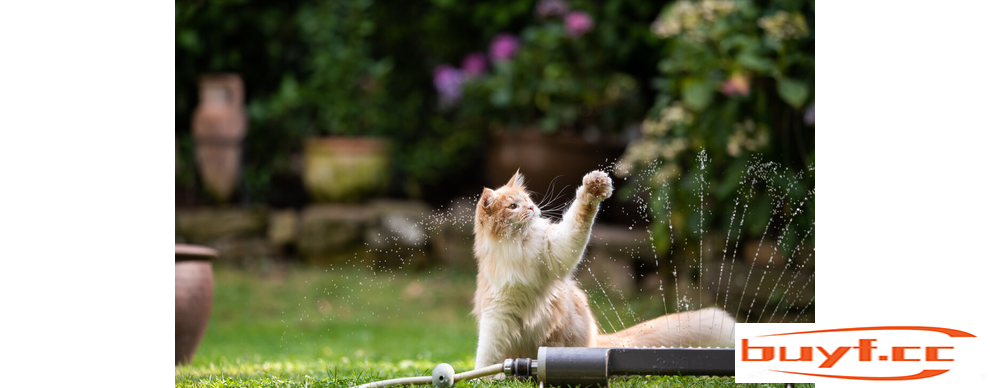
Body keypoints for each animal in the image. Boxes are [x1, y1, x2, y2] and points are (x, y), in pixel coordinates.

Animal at [472, 171, 736, 370]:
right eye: (513, 206)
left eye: (527, 199)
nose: (531, 208)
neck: (520, 246)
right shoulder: (497, 314)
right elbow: (486, 356)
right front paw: (485, 378)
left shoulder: (556, 251)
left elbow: (580, 218)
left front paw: (593, 189)